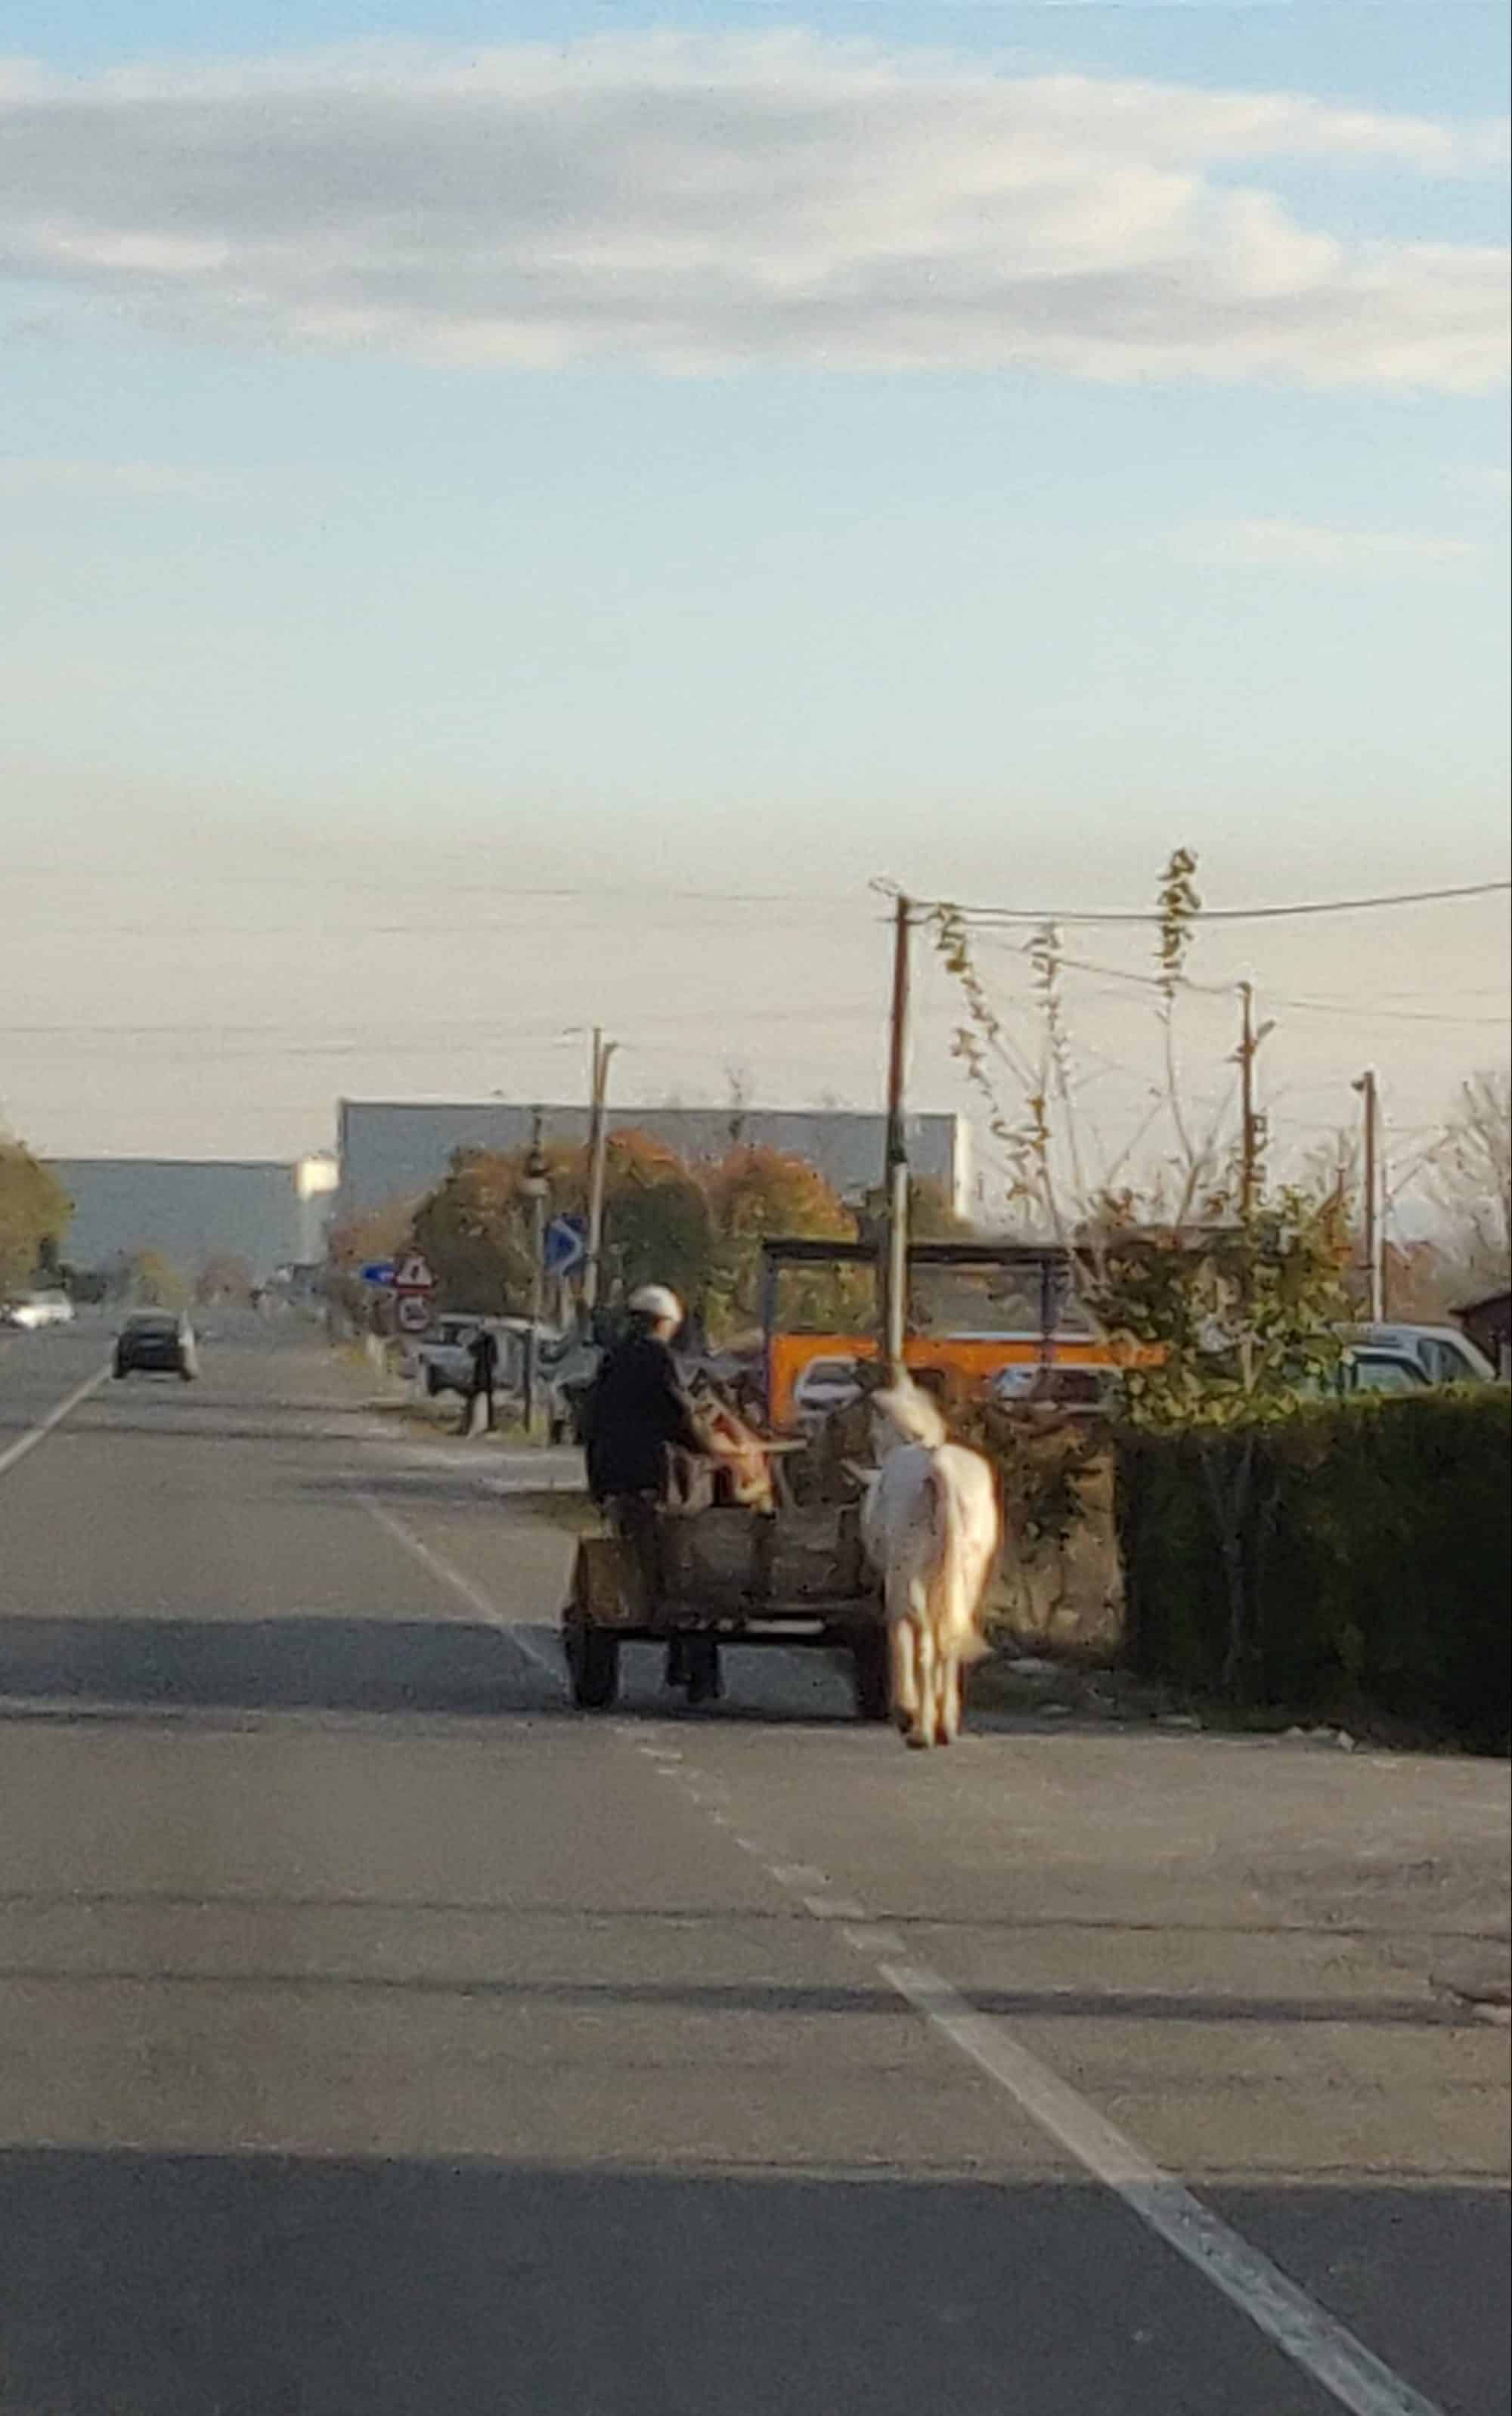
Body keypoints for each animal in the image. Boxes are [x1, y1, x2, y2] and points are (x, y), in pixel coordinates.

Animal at [854, 1382, 995, 1758]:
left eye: (873, 1430)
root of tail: (938, 1467)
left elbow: (900, 1635)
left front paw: (906, 1711)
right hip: (966, 1574)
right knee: (948, 1641)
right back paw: (943, 1726)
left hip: (909, 1575)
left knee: (925, 1642)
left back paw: (919, 1729)